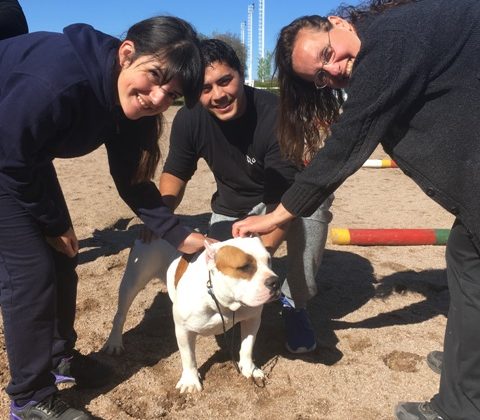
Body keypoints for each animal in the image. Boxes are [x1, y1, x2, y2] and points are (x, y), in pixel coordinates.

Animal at [103, 235, 280, 392]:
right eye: (244, 267)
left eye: (269, 260)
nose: (275, 282)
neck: (223, 301)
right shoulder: (184, 330)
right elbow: (188, 357)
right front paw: (190, 381)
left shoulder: (252, 320)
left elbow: (247, 347)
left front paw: (250, 370)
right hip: (132, 282)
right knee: (120, 316)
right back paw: (114, 343)